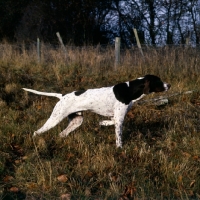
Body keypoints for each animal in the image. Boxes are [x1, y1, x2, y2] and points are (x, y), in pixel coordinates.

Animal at [23, 74, 170, 147]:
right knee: (37, 132)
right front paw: (120, 149)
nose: (169, 85)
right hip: (55, 119)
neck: (130, 90)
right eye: (159, 81)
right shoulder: (119, 119)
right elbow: (119, 138)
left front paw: (103, 123)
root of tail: (62, 96)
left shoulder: (117, 117)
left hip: (77, 121)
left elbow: (109, 121)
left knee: (62, 134)